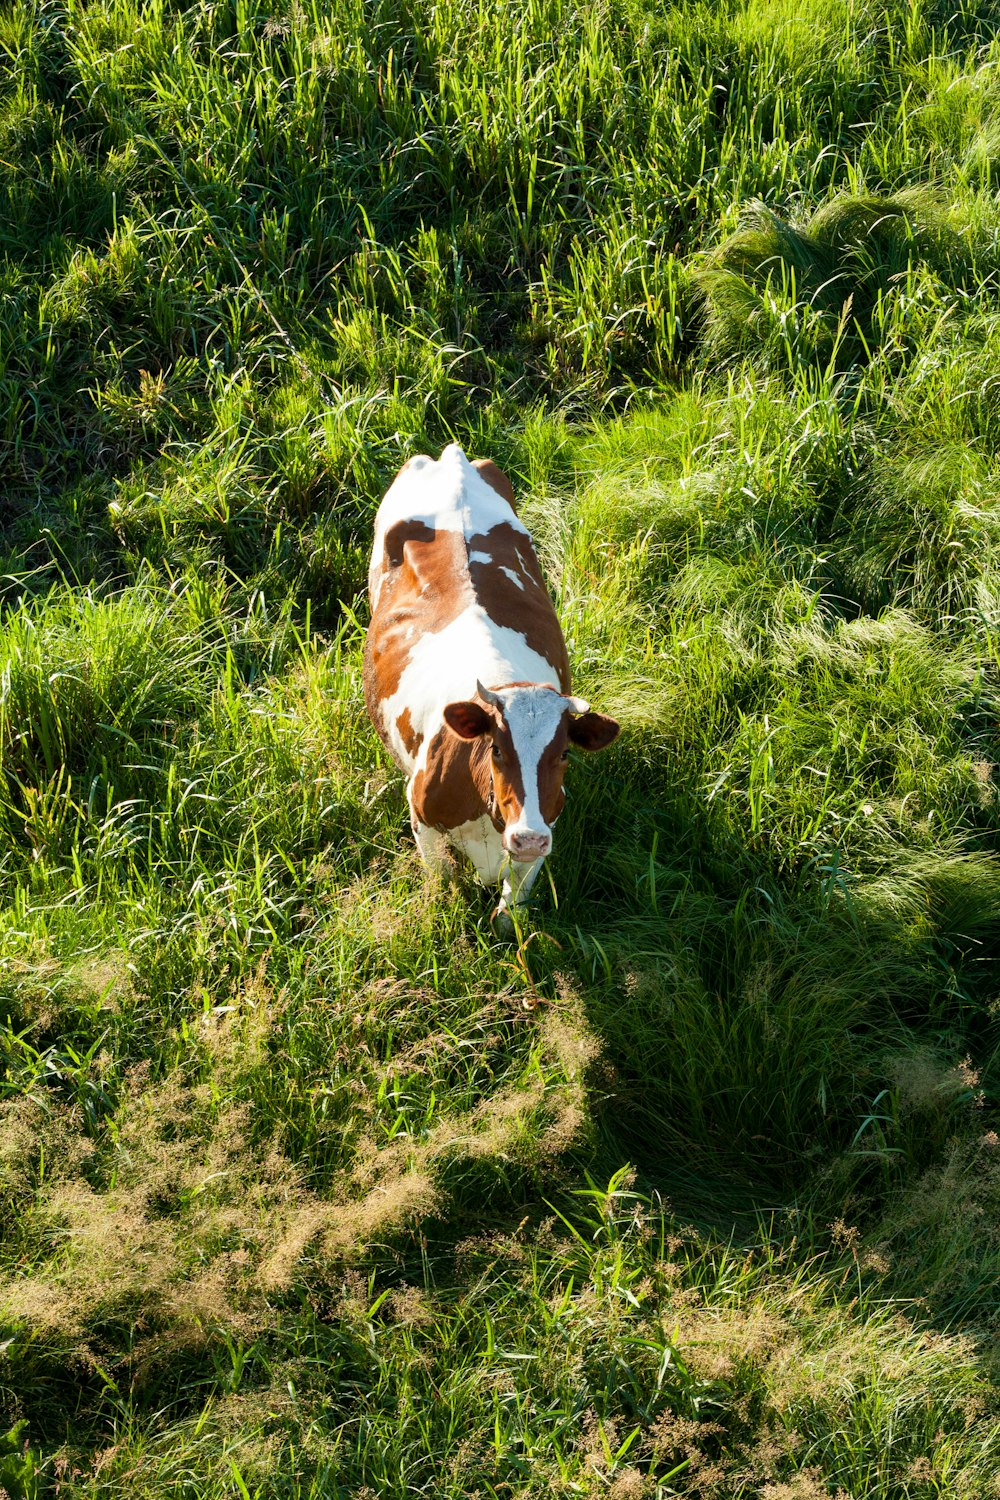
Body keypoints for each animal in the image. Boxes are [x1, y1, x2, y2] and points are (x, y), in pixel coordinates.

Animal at [364, 438, 620, 918]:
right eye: (497, 749)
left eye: (564, 754)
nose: (528, 836)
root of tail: (452, 457)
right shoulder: (423, 823)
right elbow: (445, 889)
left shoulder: (543, 833)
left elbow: (510, 914)